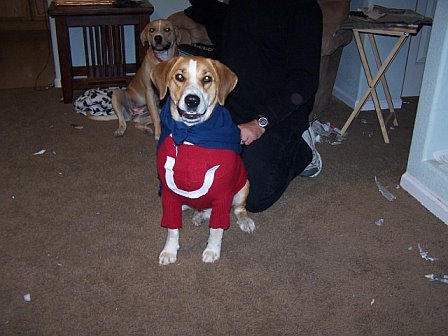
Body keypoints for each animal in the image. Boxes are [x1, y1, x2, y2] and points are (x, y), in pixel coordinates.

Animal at [150, 55, 256, 266]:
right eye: (179, 77)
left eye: (207, 79)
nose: (192, 100)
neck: (192, 134)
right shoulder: (169, 193)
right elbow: (172, 230)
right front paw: (169, 251)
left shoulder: (223, 194)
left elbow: (216, 229)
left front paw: (212, 250)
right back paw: (199, 216)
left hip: (243, 186)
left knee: (238, 209)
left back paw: (243, 221)